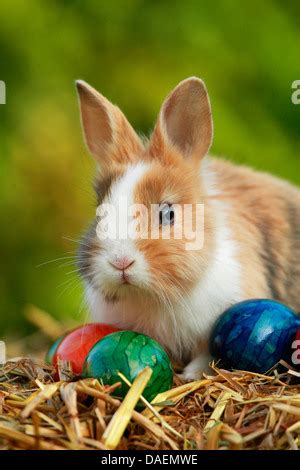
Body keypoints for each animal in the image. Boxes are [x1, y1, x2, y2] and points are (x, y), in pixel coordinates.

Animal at [75, 75, 300, 380]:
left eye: (168, 214)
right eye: (99, 211)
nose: (120, 262)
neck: (155, 296)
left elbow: (206, 356)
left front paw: (191, 375)